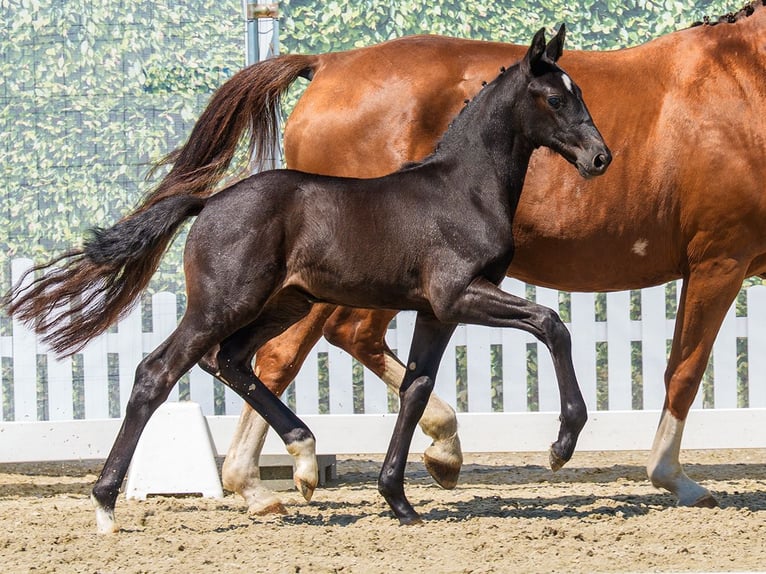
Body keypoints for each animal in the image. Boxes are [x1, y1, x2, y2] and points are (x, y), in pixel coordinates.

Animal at [3, 27, 610, 532]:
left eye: (580, 92)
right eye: (556, 99)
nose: (601, 158)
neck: (462, 188)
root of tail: (208, 203)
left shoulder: (437, 311)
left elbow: (415, 389)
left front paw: (399, 499)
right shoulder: (460, 295)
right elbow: (551, 323)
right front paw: (562, 443)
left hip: (284, 304)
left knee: (230, 359)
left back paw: (303, 454)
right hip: (223, 304)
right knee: (159, 371)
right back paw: (107, 505)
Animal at [133, 1, 766, 515]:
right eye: (555, 98)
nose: (600, 157)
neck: (743, 79)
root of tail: (329, 63)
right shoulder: (719, 260)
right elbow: (683, 369)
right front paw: (670, 478)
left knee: (331, 343)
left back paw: (422, 452)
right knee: (277, 356)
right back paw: (274, 479)